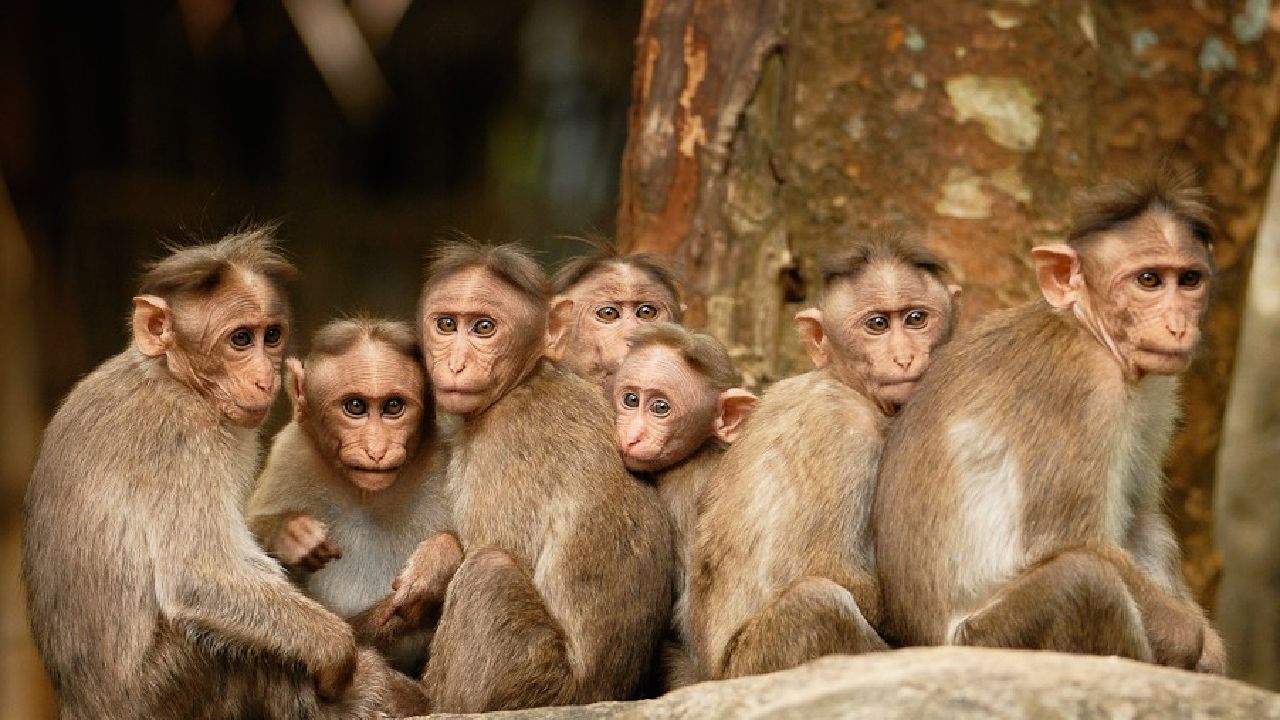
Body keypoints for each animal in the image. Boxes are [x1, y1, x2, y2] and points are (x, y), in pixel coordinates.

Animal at [22, 228, 427, 719]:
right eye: (240, 339)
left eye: (270, 336)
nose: (264, 377)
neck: (173, 377)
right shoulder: (184, 440)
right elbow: (200, 577)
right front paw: (340, 655)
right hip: (166, 692)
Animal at [246, 317, 451, 677]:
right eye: (355, 406)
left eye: (393, 406)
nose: (376, 450)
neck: (367, 494)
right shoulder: (292, 455)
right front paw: (290, 533)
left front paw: (437, 565)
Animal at [687, 230, 960, 682]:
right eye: (877, 325)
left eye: (916, 318)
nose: (904, 356)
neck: (844, 382)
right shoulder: (842, 430)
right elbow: (830, 569)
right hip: (760, 662)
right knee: (818, 604)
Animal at [873, 165, 1227, 674]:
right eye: (1148, 280)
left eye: (1189, 279)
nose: (1178, 325)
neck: (1086, 328)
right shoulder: (1081, 388)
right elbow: (1070, 540)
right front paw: (1190, 637)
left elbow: (1139, 511)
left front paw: (1210, 649)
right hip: (989, 642)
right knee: (1085, 581)